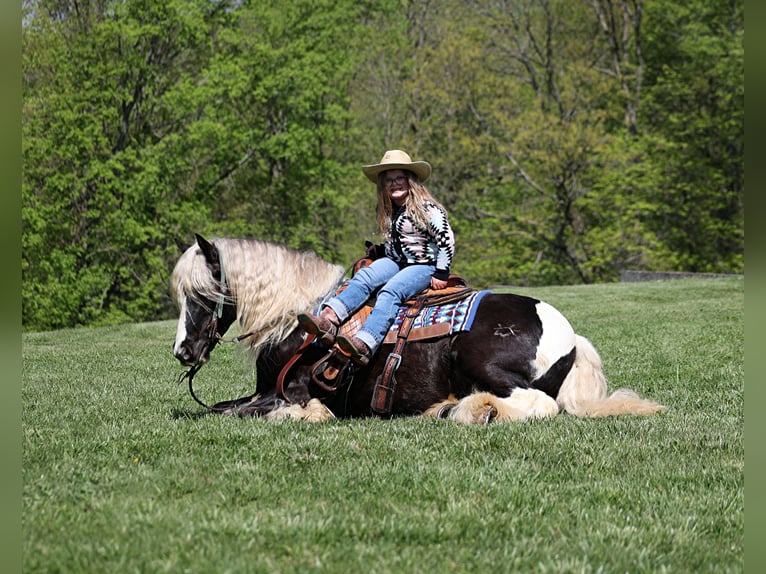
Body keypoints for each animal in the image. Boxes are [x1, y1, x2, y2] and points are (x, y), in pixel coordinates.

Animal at [172, 235, 664, 428]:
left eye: (200, 294)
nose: (182, 352)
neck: (302, 320)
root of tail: (570, 336)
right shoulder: (262, 392)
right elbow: (224, 407)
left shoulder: (285, 393)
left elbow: (237, 413)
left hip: (479, 359)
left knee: (540, 405)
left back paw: (469, 411)